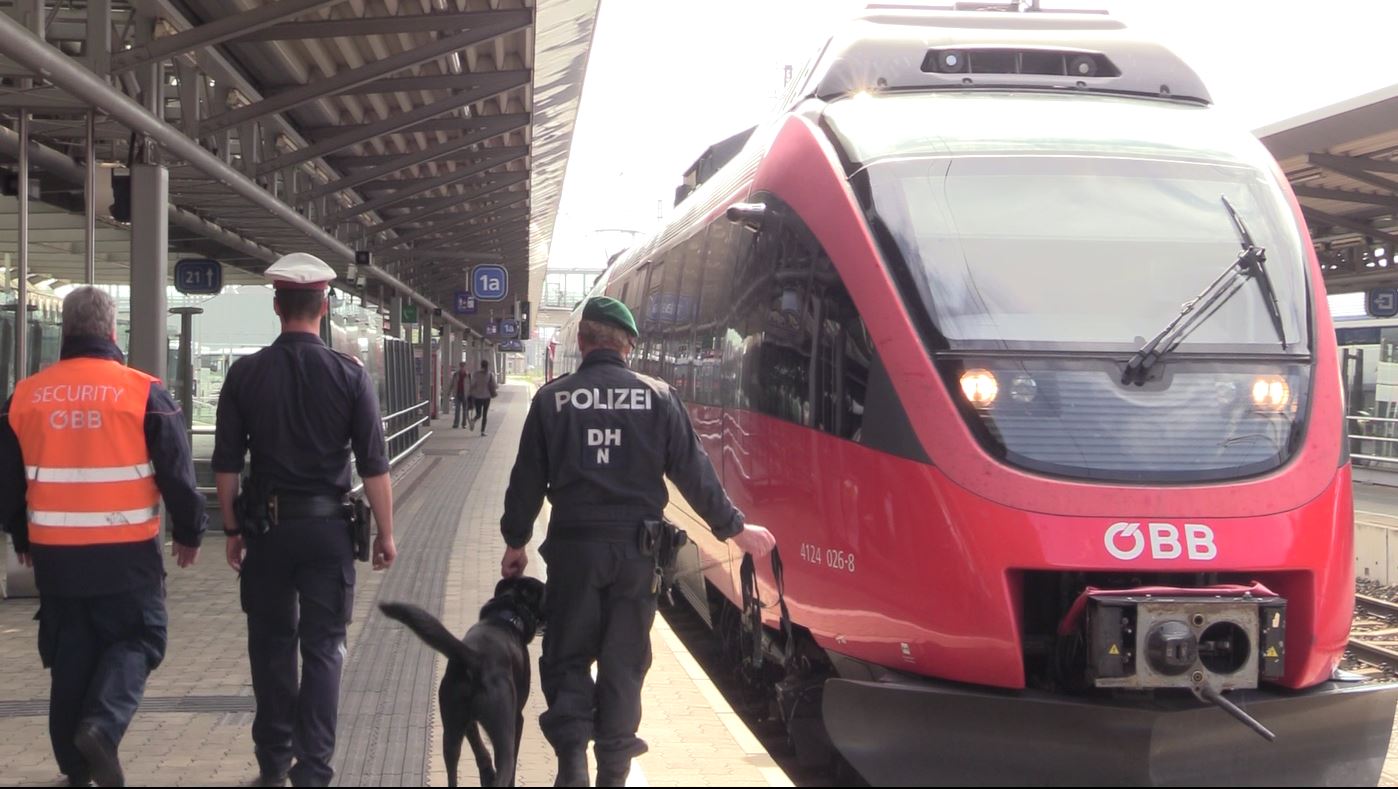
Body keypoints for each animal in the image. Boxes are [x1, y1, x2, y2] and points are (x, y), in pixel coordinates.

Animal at [383, 576, 545, 783]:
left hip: (450, 727)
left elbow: (478, 747)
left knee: (452, 767)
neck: (505, 617)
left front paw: (486, 773)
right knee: (506, 769)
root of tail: (476, 658)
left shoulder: (466, 719)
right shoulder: (518, 719)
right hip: (504, 730)